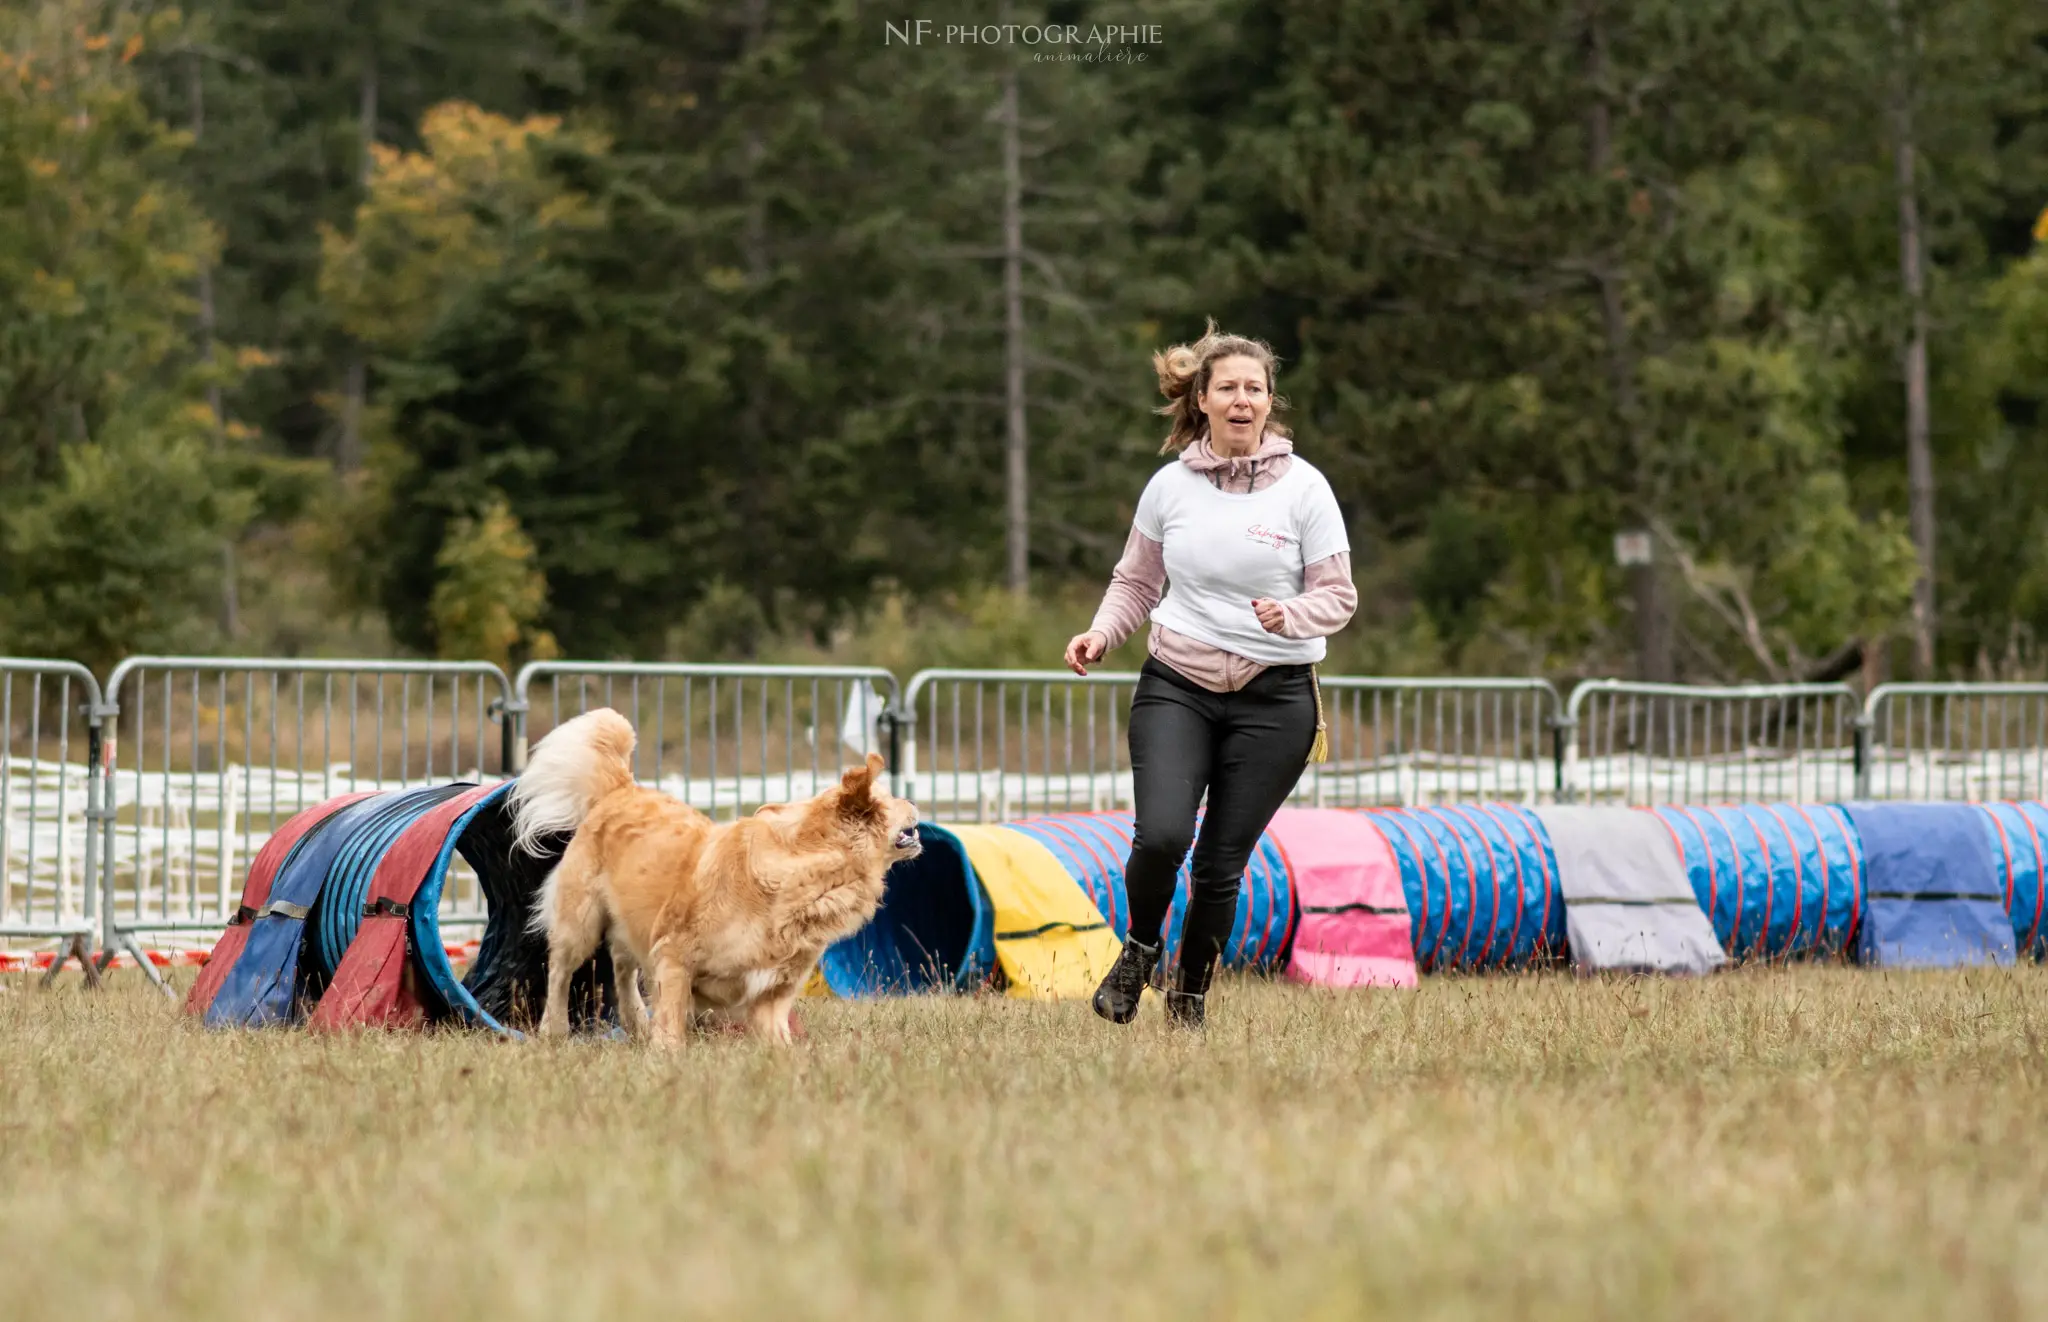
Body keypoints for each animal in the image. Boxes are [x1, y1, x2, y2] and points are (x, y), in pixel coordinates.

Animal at [512, 708, 921, 1047]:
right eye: (890, 797)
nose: (915, 801)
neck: (803, 879)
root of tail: (622, 788)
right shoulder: (674, 958)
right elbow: (672, 1029)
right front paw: (664, 1062)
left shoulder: (773, 995)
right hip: (580, 922)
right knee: (561, 971)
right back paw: (553, 1030)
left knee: (622, 965)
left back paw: (635, 1023)